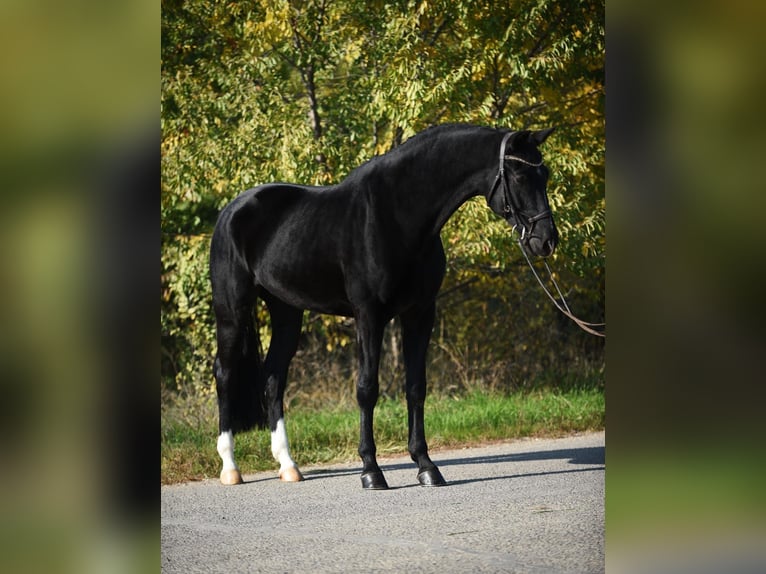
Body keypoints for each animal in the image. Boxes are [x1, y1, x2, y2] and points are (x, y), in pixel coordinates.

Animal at [210, 122, 560, 490]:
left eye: (545, 174)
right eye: (519, 175)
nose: (546, 241)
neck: (397, 216)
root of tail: (232, 210)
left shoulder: (420, 313)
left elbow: (416, 387)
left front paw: (426, 466)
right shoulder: (369, 315)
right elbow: (367, 389)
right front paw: (371, 471)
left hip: (287, 311)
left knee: (273, 379)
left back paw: (289, 466)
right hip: (232, 310)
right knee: (225, 374)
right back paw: (230, 468)